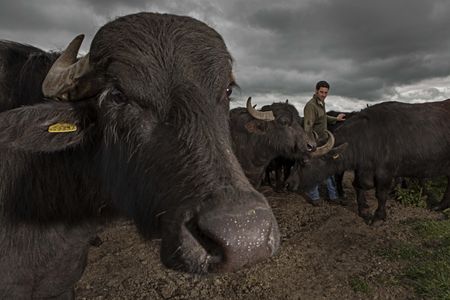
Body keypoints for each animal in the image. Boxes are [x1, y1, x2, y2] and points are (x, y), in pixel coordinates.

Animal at [286, 100, 448, 223]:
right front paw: (363, 208)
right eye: (296, 160)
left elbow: (381, 194)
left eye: (305, 161)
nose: (288, 184)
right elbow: (358, 185)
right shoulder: (361, 169)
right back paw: (440, 206)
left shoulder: (385, 173)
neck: (370, 137)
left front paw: (377, 217)